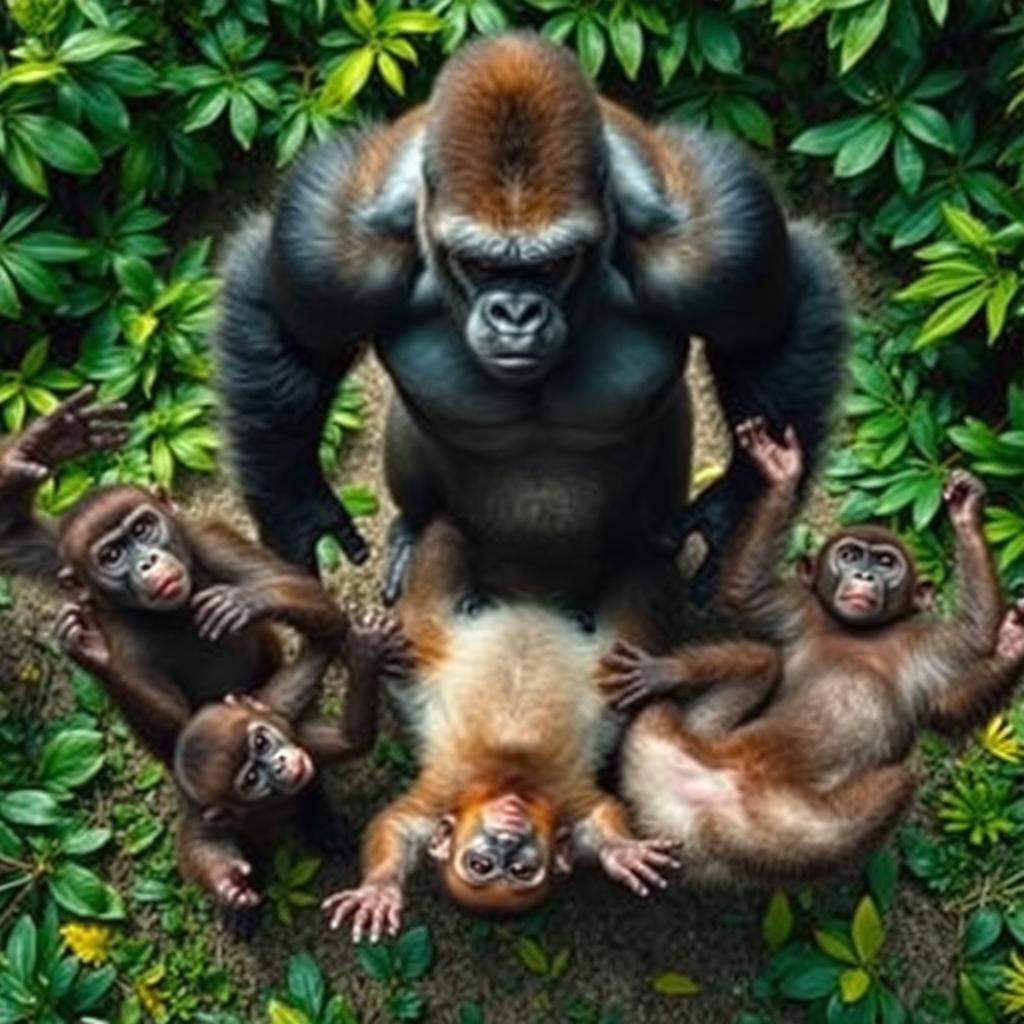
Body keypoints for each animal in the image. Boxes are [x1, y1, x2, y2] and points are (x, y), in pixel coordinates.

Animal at [172, 606, 407, 937]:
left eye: (261, 742)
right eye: (252, 779)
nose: (280, 764)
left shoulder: (290, 724)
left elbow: (348, 736)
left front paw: (363, 651)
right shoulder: (204, 810)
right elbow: (195, 841)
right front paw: (229, 884)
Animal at [218, 29, 847, 606]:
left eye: (551, 264)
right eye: (477, 262)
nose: (515, 314)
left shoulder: (723, 237)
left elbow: (776, 324)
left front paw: (735, 513)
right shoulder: (326, 243)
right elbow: (286, 327)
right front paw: (299, 511)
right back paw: (413, 532)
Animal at [606, 419, 1024, 884]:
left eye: (886, 562)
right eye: (850, 555)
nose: (864, 575)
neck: (857, 632)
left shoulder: (925, 641)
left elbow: (956, 687)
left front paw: (1010, 640)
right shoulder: (798, 610)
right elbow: (745, 591)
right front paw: (781, 473)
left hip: (755, 821)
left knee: (892, 780)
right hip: (670, 743)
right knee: (766, 659)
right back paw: (664, 675)